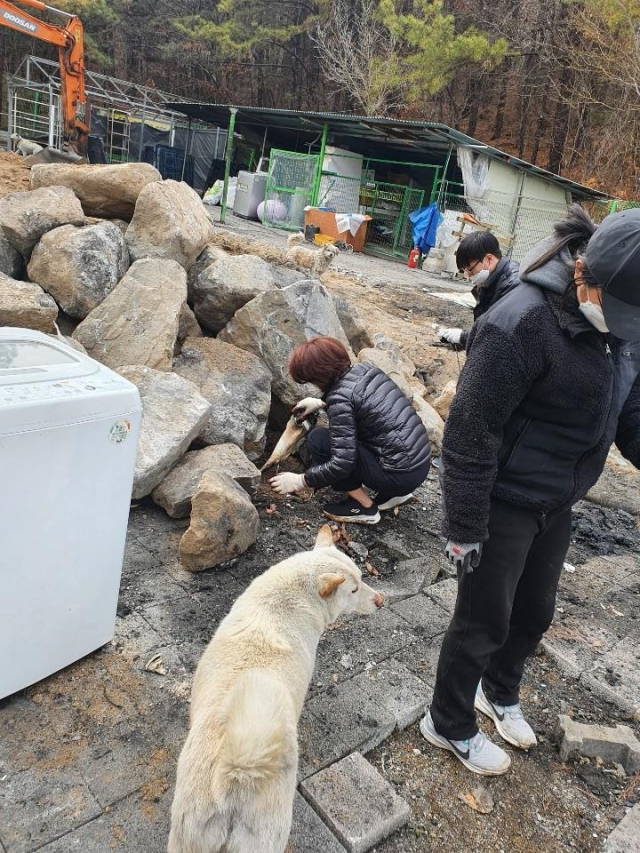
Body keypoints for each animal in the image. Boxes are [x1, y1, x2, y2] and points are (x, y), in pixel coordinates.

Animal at [168, 524, 382, 852]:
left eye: (362, 576)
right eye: (355, 590)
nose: (381, 600)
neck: (292, 595)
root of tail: (236, 778)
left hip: (186, 837)